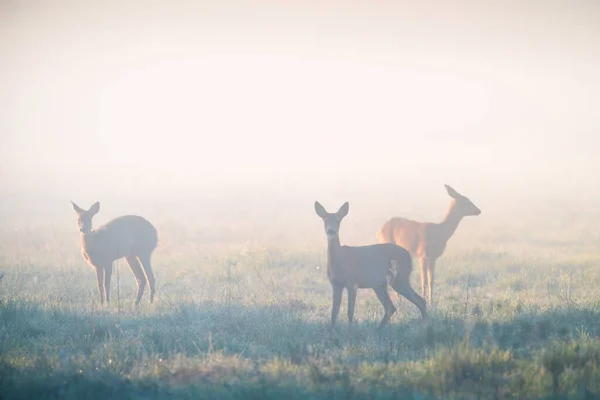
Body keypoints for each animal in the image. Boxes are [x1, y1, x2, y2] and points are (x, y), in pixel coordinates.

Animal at [314, 202, 426, 330]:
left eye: (338, 221)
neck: (338, 260)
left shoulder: (352, 283)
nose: (331, 231)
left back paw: (426, 325)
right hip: (380, 284)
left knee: (420, 301)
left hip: (400, 277)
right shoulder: (336, 284)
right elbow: (334, 312)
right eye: (325, 220)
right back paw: (378, 329)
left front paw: (350, 331)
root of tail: (409, 255)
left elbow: (350, 311)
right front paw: (332, 331)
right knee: (391, 307)